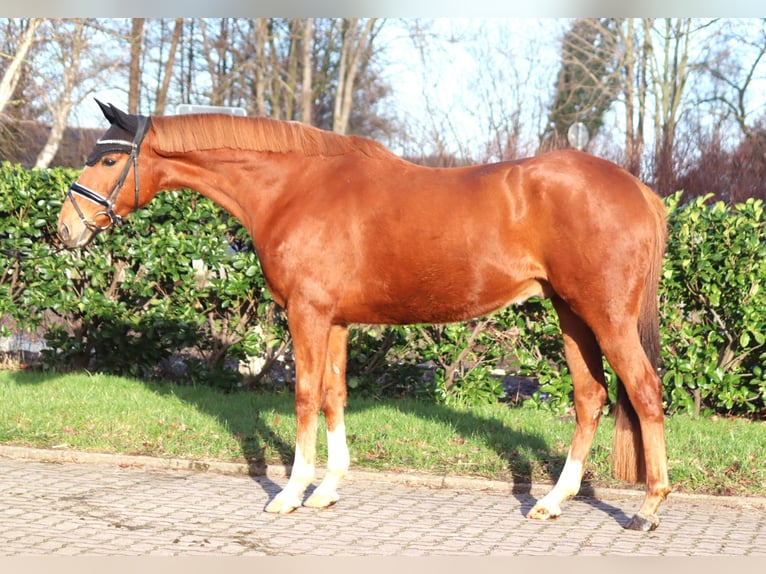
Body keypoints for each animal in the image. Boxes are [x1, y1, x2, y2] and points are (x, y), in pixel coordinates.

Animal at [58, 102, 672, 532]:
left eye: (109, 158)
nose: (65, 228)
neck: (292, 188)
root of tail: (639, 190)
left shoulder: (306, 313)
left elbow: (305, 395)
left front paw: (290, 494)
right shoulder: (333, 320)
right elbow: (334, 394)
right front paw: (328, 489)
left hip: (605, 315)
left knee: (643, 391)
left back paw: (647, 509)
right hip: (571, 313)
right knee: (590, 397)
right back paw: (552, 501)